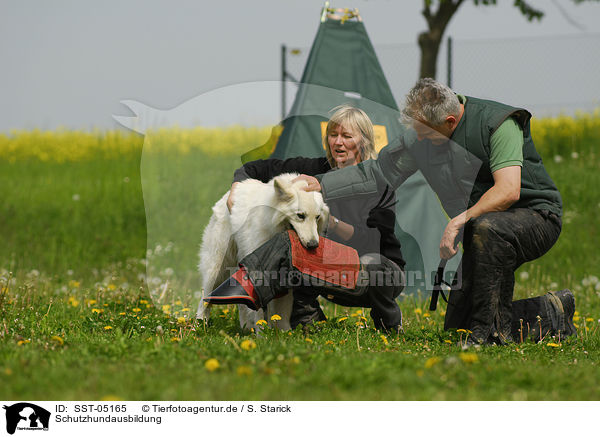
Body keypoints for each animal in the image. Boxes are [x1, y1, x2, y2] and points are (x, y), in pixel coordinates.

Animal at [196, 174, 328, 330]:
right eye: (300, 215)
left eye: (317, 217)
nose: (313, 245)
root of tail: (226, 195)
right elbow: (260, 313)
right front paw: (263, 334)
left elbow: (282, 315)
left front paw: (286, 334)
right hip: (217, 270)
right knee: (205, 298)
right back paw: (200, 326)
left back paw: (245, 329)